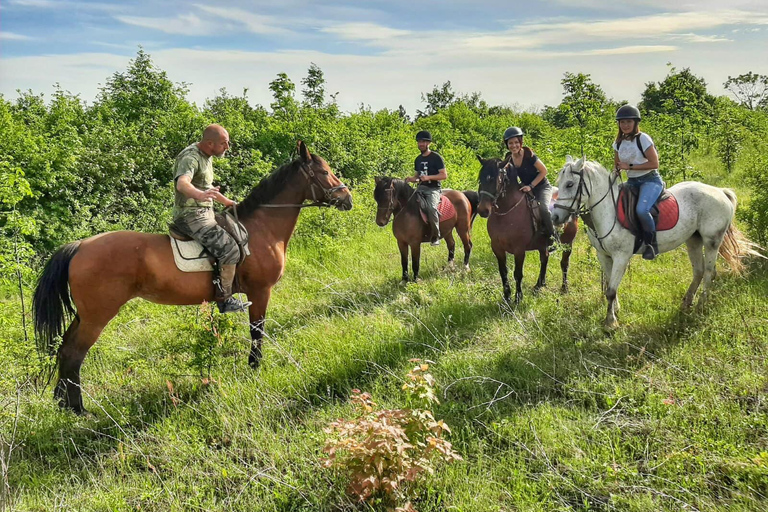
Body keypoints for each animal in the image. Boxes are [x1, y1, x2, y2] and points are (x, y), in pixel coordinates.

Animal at [32, 142, 352, 414]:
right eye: (325, 172)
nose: (347, 197)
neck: (260, 229)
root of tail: (80, 246)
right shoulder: (260, 292)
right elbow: (257, 331)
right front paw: (254, 367)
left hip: (84, 315)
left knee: (64, 349)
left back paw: (63, 402)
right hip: (97, 316)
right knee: (74, 353)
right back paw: (78, 408)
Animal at [476, 156, 580, 304]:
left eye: (498, 180)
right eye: (481, 179)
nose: (483, 210)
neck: (507, 213)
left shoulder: (519, 250)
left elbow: (518, 274)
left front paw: (518, 297)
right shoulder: (497, 247)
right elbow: (503, 272)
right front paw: (506, 296)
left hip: (567, 244)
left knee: (564, 264)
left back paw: (564, 288)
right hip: (543, 245)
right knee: (545, 258)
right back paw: (539, 285)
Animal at [552, 156, 760, 330]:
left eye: (570, 184)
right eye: (559, 184)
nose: (555, 217)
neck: (608, 211)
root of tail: (721, 191)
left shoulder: (621, 256)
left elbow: (610, 290)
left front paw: (610, 323)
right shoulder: (603, 255)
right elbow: (611, 286)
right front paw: (616, 310)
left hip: (712, 241)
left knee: (709, 272)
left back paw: (700, 306)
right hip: (693, 240)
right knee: (699, 271)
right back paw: (686, 303)